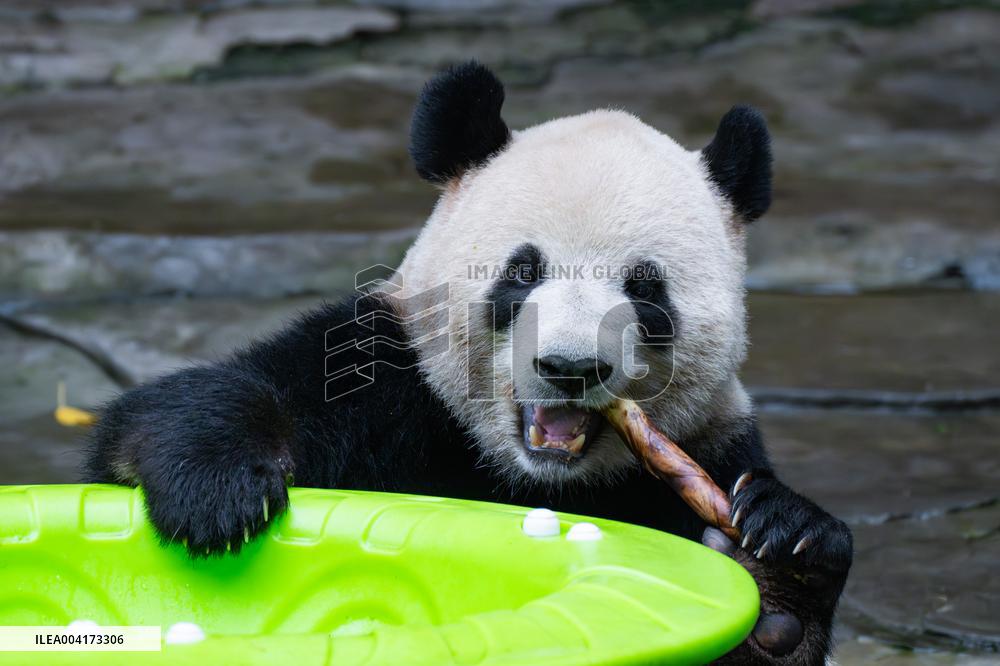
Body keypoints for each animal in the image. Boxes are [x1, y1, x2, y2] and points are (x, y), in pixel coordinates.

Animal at [85, 62, 852, 664]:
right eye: (522, 272)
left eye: (645, 289)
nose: (570, 366)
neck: (532, 478)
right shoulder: (389, 381)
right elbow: (188, 413)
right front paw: (219, 491)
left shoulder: (709, 443)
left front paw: (784, 563)